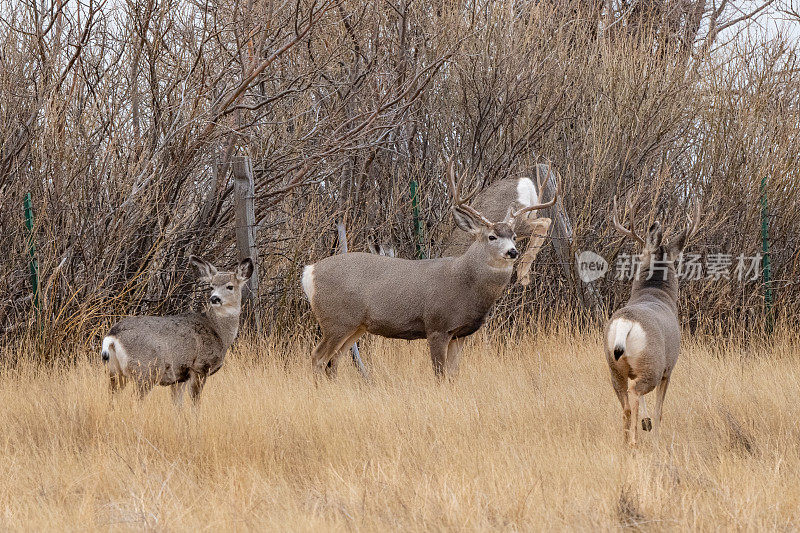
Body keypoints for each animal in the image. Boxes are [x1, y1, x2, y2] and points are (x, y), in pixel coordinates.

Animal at [101, 256, 253, 402]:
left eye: (230, 286)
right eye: (211, 286)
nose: (214, 298)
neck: (218, 331)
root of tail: (112, 337)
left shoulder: (180, 376)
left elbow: (177, 404)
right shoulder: (200, 366)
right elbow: (195, 401)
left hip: (115, 372)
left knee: (111, 398)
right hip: (147, 370)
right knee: (134, 400)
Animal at [304, 159, 560, 378]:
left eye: (514, 237)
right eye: (491, 236)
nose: (512, 252)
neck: (463, 281)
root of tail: (309, 272)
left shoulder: (460, 334)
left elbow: (453, 374)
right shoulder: (437, 326)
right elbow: (440, 374)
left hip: (355, 325)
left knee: (334, 360)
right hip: (336, 320)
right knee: (318, 357)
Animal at [608, 195, 700, 444]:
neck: (654, 293)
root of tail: (626, 322)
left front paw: (646, 424)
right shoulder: (669, 367)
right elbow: (660, 410)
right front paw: (656, 435)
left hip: (613, 367)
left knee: (625, 403)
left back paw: (625, 440)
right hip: (653, 365)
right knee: (634, 393)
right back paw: (634, 441)